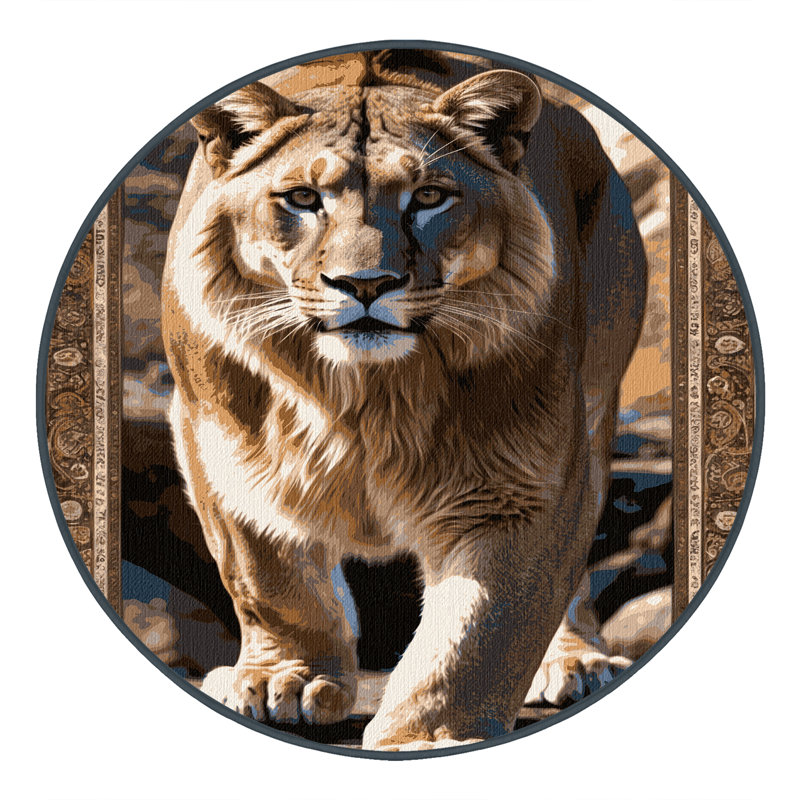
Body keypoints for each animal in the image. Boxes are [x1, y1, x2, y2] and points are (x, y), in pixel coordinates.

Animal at [162, 60, 647, 751]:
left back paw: (574, 659)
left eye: (428, 197)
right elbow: (268, 573)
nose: (365, 285)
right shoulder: (217, 441)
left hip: (597, 398)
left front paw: (431, 736)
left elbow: (480, 625)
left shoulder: (518, 478)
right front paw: (290, 678)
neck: (366, 392)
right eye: (302, 199)